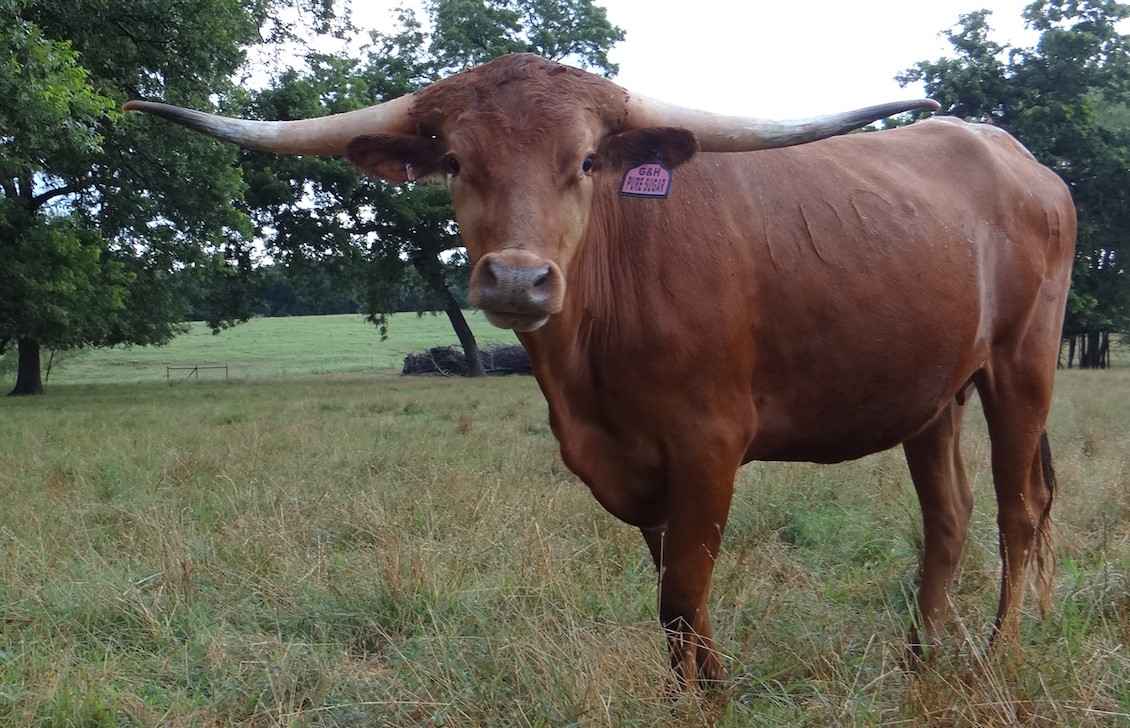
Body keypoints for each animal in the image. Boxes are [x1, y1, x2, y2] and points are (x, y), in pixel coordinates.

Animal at [124, 53, 1076, 689]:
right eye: (457, 162)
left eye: (584, 161)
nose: (516, 279)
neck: (587, 376)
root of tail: (1014, 154)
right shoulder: (636, 463)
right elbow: (675, 604)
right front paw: (692, 693)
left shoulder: (708, 445)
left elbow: (683, 596)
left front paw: (714, 699)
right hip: (933, 393)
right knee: (949, 516)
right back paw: (918, 662)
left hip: (1022, 366)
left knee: (1019, 509)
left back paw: (998, 658)